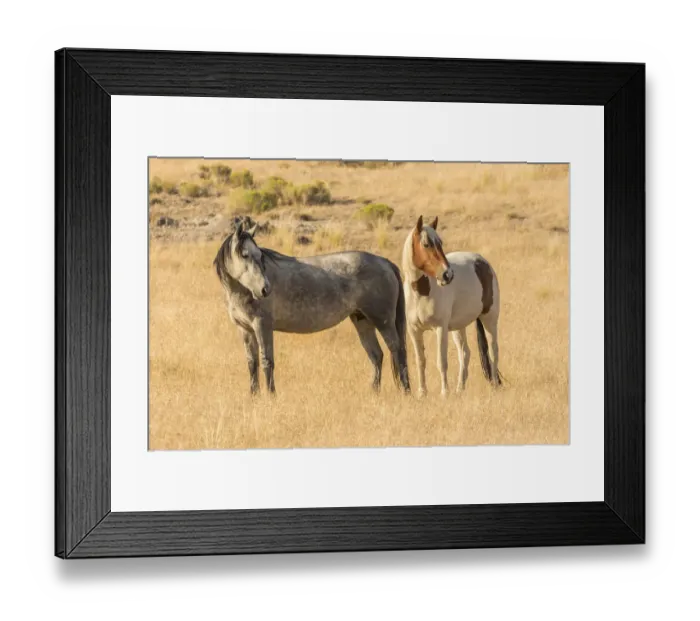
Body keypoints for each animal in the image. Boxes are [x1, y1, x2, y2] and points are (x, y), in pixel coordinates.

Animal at [214, 219, 411, 395]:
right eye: (245, 254)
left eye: (260, 256)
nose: (265, 289)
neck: (242, 291)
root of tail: (384, 262)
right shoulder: (245, 329)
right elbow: (251, 363)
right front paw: (254, 396)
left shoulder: (263, 326)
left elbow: (266, 361)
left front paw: (271, 396)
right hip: (362, 320)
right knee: (376, 355)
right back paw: (373, 391)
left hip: (383, 321)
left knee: (398, 350)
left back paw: (406, 391)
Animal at [402, 215, 502, 396]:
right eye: (426, 244)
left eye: (440, 242)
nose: (447, 275)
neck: (422, 293)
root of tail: (482, 262)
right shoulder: (414, 331)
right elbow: (421, 361)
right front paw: (422, 393)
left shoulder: (440, 328)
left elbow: (441, 361)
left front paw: (444, 393)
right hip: (458, 327)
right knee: (465, 353)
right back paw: (459, 388)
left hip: (489, 318)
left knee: (493, 351)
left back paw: (494, 387)